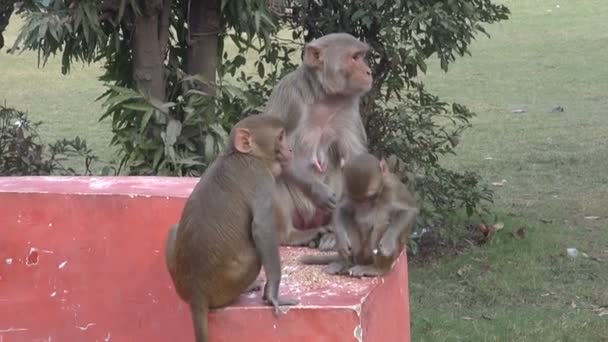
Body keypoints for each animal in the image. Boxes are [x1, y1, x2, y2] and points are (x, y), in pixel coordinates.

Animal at [165, 115, 300, 342]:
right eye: (281, 136)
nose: (291, 149)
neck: (239, 154)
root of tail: (196, 293)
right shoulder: (261, 178)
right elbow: (262, 228)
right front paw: (272, 295)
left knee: (173, 229)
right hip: (228, 283)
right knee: (256, 254)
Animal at [268, 33, 376, 250]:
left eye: (362, 56)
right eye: (354, 58)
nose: (369, 71)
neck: (326, 97)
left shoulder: (349, 108)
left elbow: (356, 161)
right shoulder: (288, 96)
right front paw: (318, 191)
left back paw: (335, 234)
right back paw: (289, 236)